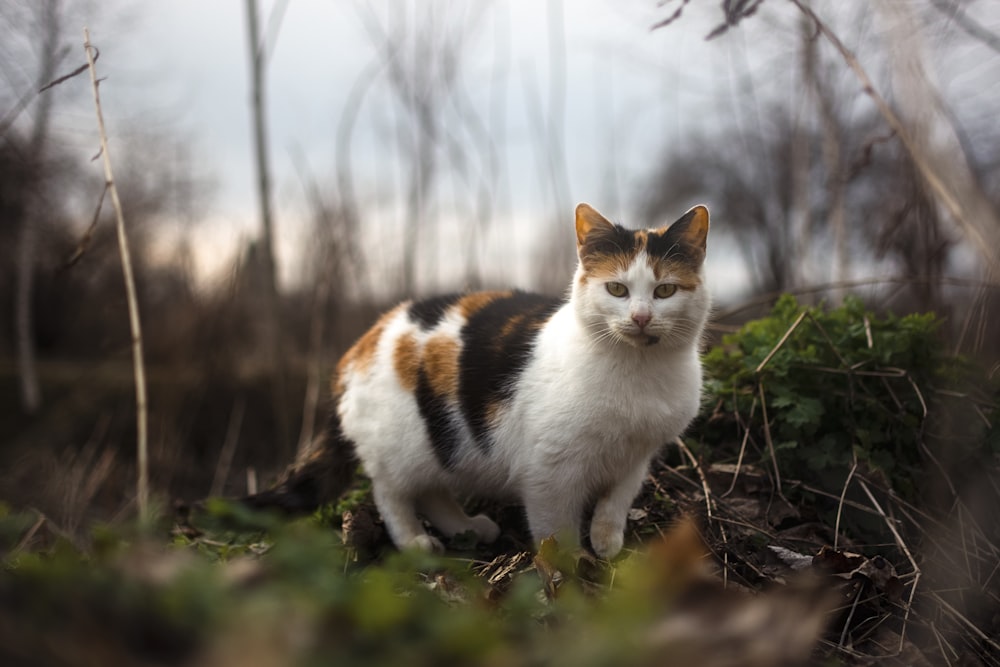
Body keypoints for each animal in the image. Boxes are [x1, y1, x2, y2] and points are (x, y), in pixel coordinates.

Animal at [244, 204, 712, 560]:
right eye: (616, 289)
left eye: (665, 291)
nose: (641, 317)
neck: (638, 374)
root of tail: (361, 343)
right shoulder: (549, 470)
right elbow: (555, 528)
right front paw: (572, 569)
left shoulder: (637, 456)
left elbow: (616, 501)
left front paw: (607, 541)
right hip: (399, 448)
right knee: (392, 492)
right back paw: (415, 542)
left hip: (442, 445)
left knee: (431, 491)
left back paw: (470, 528)